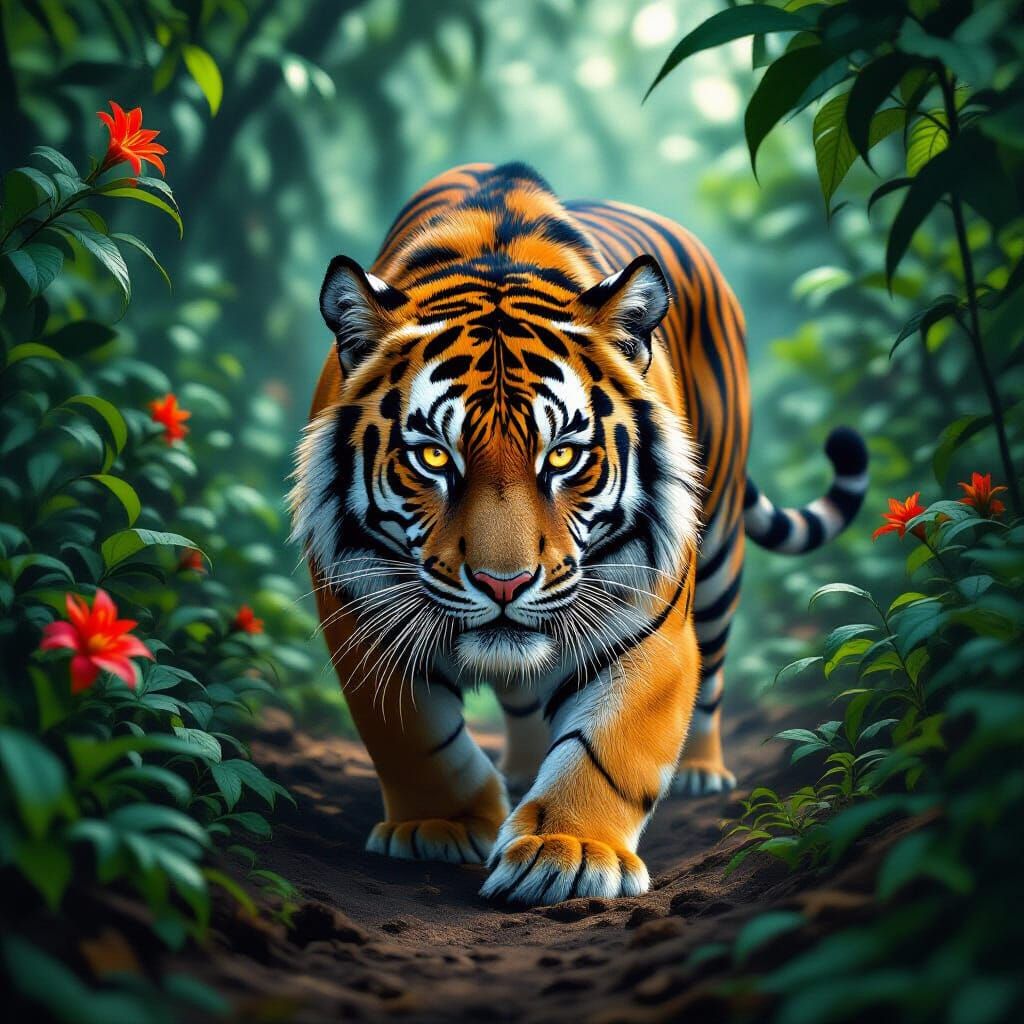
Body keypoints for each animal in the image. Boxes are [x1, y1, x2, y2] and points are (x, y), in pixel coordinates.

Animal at [290, 162, 868, 906]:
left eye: (563, 455)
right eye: (436, 458)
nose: (503, 584)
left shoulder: (647, 622)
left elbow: (608, 746)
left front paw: (567, 851)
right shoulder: (359, 612)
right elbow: (413, 736)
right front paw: (440, 827)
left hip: (717, 555)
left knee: (711, 671)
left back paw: (701, 771)